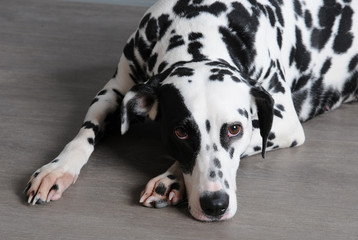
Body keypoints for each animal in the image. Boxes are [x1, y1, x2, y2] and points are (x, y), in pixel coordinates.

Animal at [23, 0, 356, 221]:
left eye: (235, 129)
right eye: (180, 132)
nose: (215, 205)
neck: (198, 25)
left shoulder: (284, 123)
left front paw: (170, 180)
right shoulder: (112, 91)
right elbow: (83, 136)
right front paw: (57, 169)